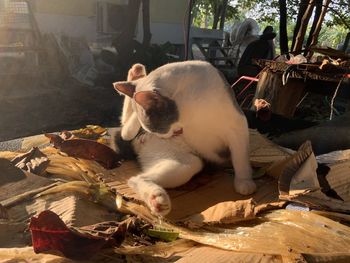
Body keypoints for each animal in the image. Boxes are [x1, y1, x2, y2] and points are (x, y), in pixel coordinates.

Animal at [113, 61, 258, 217]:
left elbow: (240, 159)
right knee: (127, 137)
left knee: (135, 176)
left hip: (186, 162)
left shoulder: (237, 126)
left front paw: (244, 181)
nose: (158, 136)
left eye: (157, 129)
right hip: (188, 162)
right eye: (153, 129)